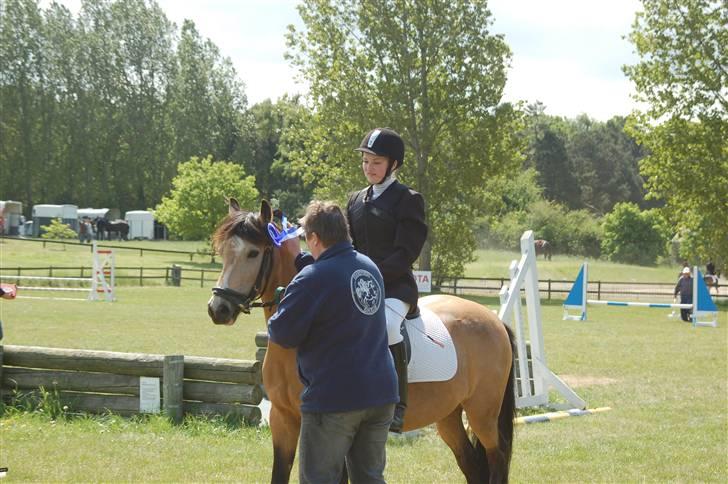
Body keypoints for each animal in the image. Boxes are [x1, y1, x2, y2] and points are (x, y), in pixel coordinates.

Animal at [208, 199, 516, 484]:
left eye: (253, 253)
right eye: (223, 252)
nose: (217, 309)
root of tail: (493, 319)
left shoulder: (331, 425)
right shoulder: (282, 420)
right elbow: (278, 474)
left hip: (482, 414)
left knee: (497, 457)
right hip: (449, 415)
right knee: (472, 464)